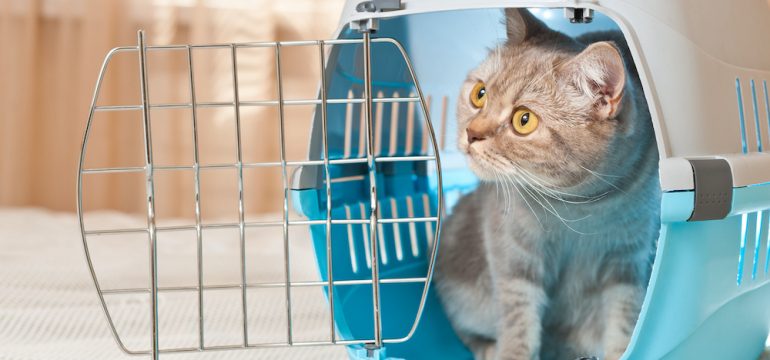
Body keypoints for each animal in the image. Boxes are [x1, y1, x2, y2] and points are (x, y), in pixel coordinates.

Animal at [436, 7, 656, 360]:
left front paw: (623, 350)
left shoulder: (627, 261)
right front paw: (510, 352)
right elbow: (517, 323)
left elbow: (624, 317)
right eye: (479, 94)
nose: (471, 134)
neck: (582, 206)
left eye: (523, 120)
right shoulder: (514, 258)